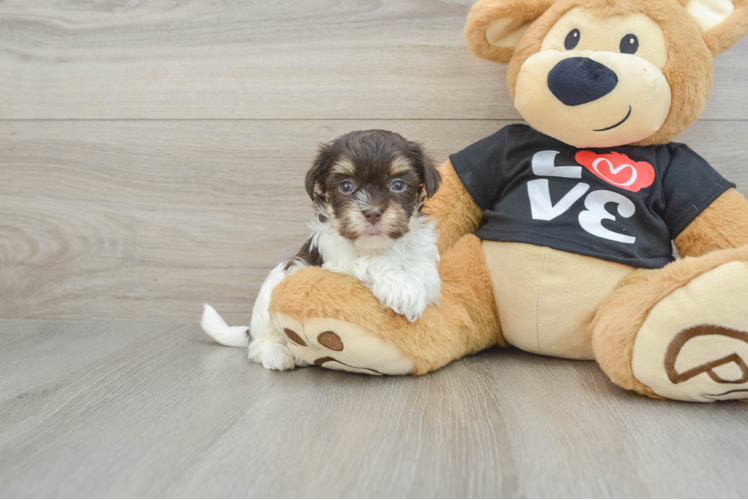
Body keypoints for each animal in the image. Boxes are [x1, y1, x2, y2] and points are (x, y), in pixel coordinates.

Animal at [202, 129, 442, 372]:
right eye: (346, 186)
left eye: (398, 184)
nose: (372, 213)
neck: (379, 245)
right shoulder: (335, 258)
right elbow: (370, 260)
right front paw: (404, 289)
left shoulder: (419, 249)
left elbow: (427, 273)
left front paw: (420, 288)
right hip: (267, 302)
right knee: (260, 342)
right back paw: (277, 354)